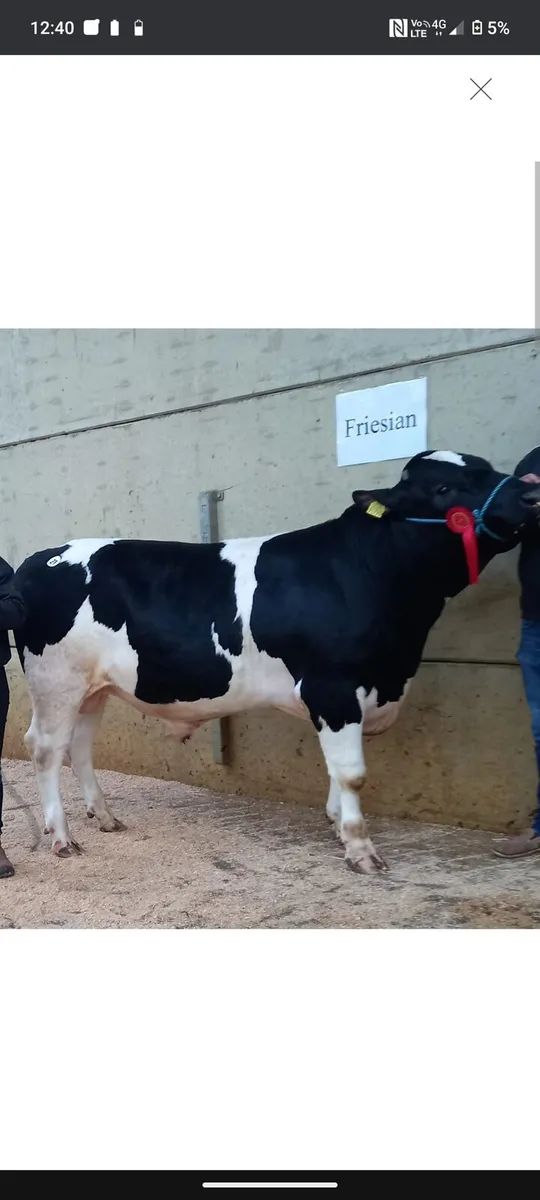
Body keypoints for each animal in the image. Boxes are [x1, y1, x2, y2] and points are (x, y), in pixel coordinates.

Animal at [12, 449, 540, 875]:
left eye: (489, 468)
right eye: (444, 488)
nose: (530, 493)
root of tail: (41, 557)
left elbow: (336, 772)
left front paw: (338, 827)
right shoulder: (333, 687)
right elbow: (352, 772)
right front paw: (361, 851)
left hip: (91, 687)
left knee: (79, 747)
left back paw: (105, 817)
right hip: (55, 681)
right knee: (45, 748)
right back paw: (62, 838)